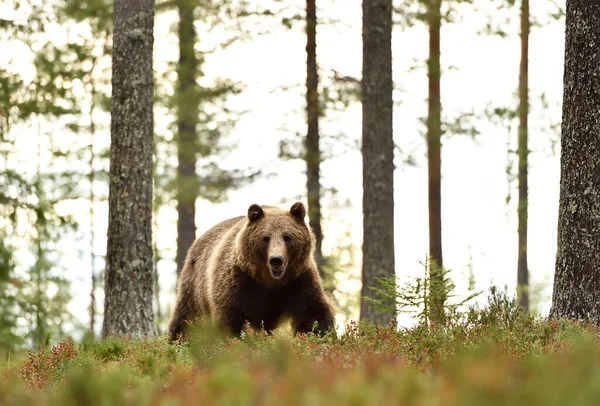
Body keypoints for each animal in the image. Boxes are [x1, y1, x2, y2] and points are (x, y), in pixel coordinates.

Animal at [169, 201, 336, 340]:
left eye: (287, 237)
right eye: (266, 237)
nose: (276, 259)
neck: (269, 282)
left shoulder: (298, 280)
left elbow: (312, 313)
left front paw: (317, 337)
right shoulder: (239, 280)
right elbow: (231, 318)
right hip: (195, 286)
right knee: (186, 317)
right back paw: (177, 340)